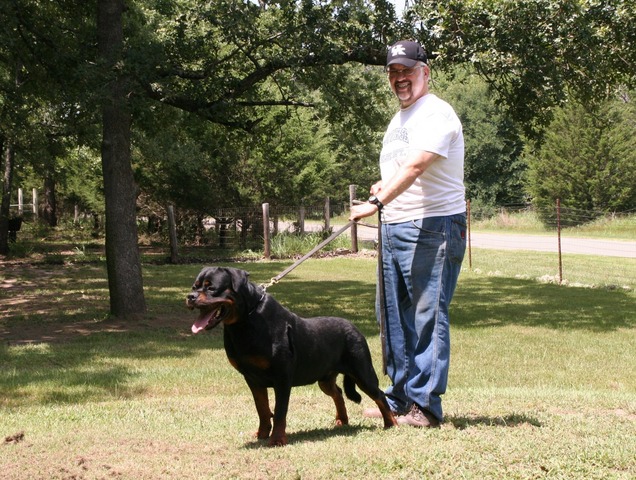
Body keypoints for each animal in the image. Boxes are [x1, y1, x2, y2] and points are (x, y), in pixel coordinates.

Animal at [186, 266, 398, 446]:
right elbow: (262, 409)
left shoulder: (282, 377)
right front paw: (262, 434)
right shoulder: (252, 378)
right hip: (324, 378)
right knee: (337, 392)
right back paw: (341, 420)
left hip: (362, 371)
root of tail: (355, 328)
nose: (190, 296)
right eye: (195, 286)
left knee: (379, 395)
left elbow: (280, 411)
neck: (245, 321)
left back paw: (391, 424)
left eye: (211, 288)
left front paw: (277, 439)